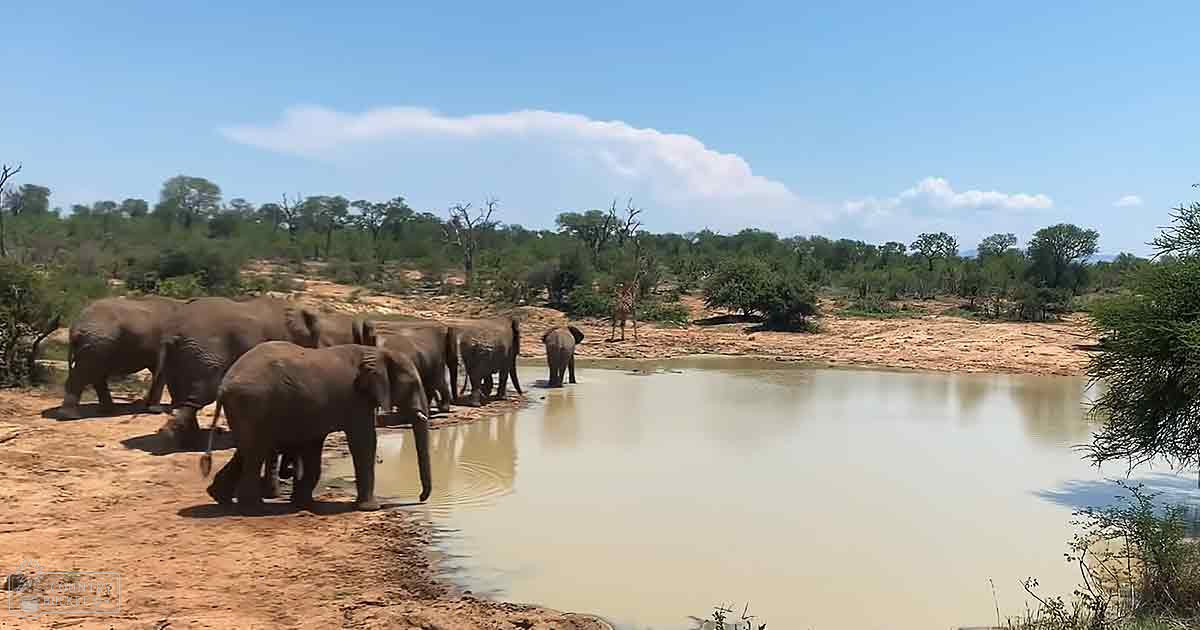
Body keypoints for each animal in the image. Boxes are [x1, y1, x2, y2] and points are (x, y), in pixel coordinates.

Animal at [149, 296, 348, 449]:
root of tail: (172, 335)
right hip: (204, 354)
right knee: (203, 393)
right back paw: (179, 438)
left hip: (179, 358)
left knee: (184, 397)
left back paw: (188, 441)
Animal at [199, 341, 431, 512]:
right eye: (413, 385)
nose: (420, 499)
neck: (377, 352)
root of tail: (223, 385)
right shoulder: (356, 399)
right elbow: (363, 441)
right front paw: (370, 508)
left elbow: (313, 445)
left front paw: (304, 503)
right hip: (251, 402)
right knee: (255, 450)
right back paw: (254, 509)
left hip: (245, 408)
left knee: (247, 448)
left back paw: (220, 497)